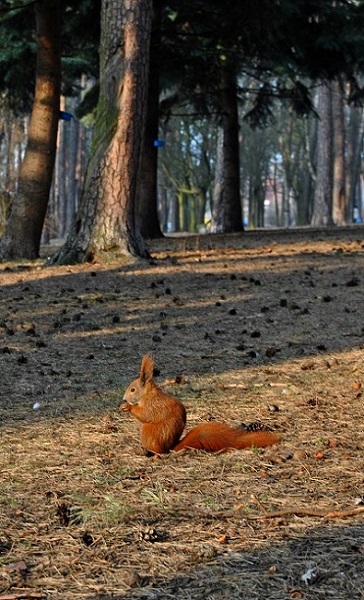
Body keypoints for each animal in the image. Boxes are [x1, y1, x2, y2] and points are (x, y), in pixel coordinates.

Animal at [121, 354, 280, 452]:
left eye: (133, 389)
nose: (123, 398)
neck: (147, 394)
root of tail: (169, 448)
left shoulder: (153, 404)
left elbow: (145, 414)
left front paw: (127, 407)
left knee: (158, 453)